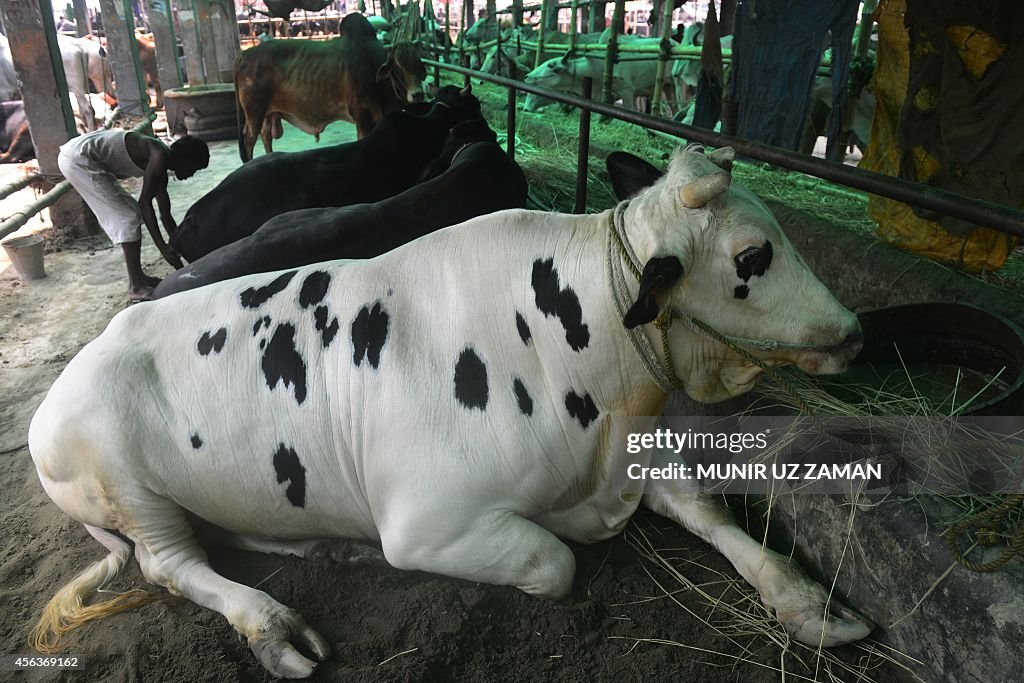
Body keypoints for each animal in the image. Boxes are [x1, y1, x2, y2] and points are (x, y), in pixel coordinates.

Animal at [28, 144, 868, 679]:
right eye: (753, 257)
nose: (856, 329)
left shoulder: (626, 455)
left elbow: (712, 509)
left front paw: (812, 603)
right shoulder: (430, 519)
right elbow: (555, 561)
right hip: (128, 488)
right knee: (170, 564)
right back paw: (272, 626)